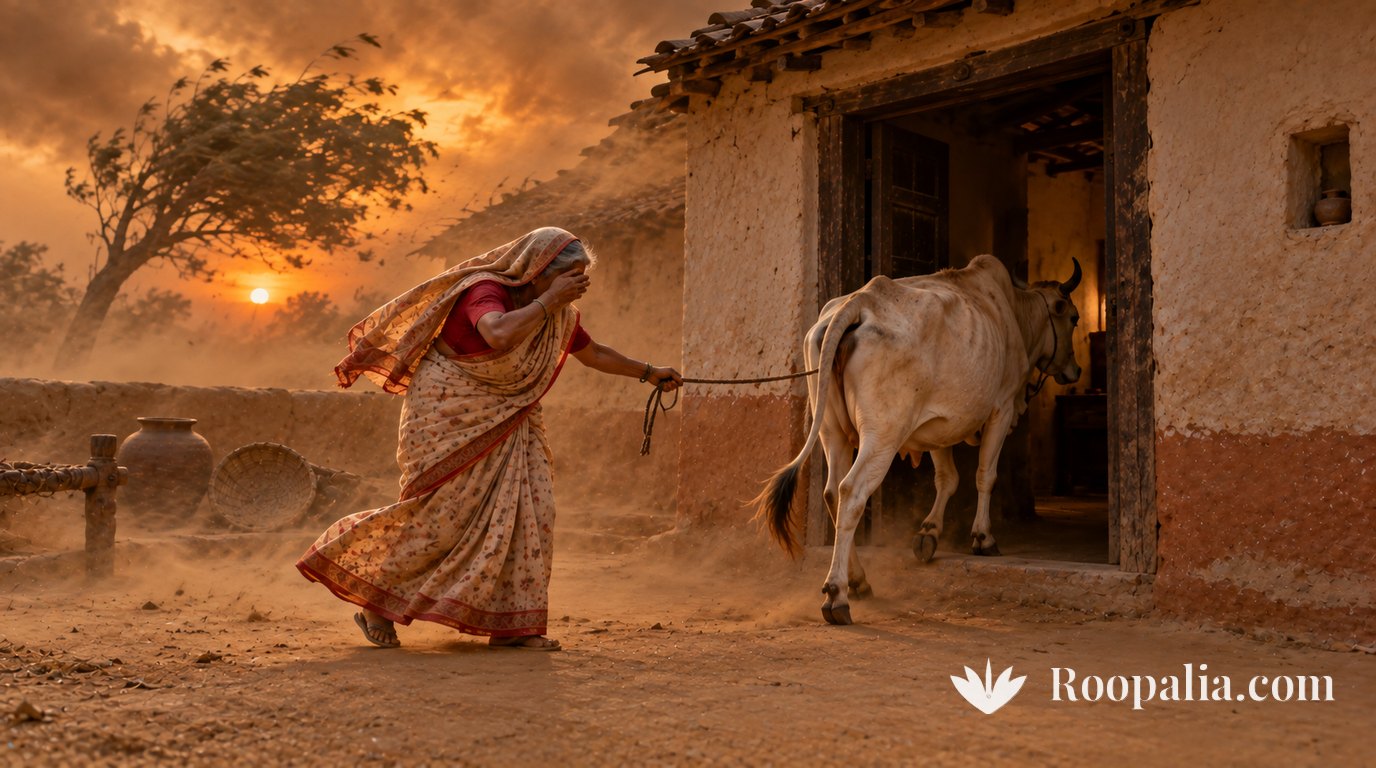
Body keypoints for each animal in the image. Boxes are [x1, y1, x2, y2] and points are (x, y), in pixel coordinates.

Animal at [752, 255, 1084, 625]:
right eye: (1073, 317)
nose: (1075, 371)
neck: (1013, 312)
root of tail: (860, 300)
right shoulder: (1002, 407)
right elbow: (985, 476)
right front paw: (983, 538)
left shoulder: (939, 426)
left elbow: (947, 478)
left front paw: (929, 532)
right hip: (882, 433)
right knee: (851, 492)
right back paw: (837, 595)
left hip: (831, 431)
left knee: (832, 493)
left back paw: (859, 580)